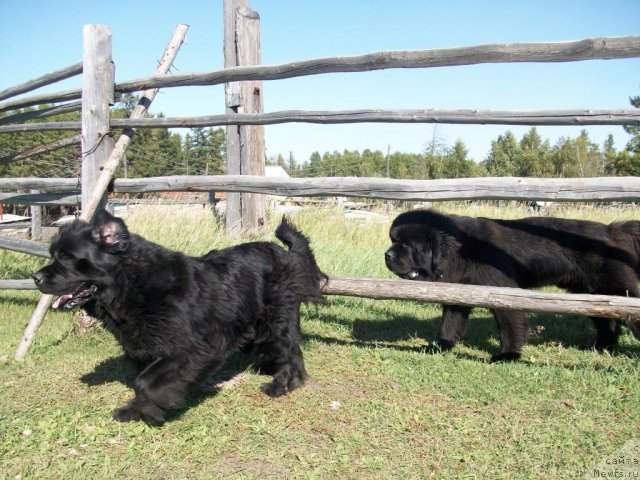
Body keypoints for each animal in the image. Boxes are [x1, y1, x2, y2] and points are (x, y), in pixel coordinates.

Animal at [31, 208, 324, 426]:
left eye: (68, 257)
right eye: (54, 255)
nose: (35, 277)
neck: (133, 285)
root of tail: (286, 252)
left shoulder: (193, 350)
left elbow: (145, 382)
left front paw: (153, 412)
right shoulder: (142, 348)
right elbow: (142, 380)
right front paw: (133, 410)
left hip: (277, 317)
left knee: (291, 350)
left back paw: (283, 384)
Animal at [384, 208, 640, 362]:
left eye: (407, 245)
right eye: (393, 241)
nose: (387, 254)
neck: (463, 250)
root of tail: (612, 230)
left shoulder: (503, 292)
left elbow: (509, 323)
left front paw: (508, 355)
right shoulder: (460, 292)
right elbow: (450, 322)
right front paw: (441, 345)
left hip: (614, 290)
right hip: (589, 295)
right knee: (607, 322)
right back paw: (601, 347)